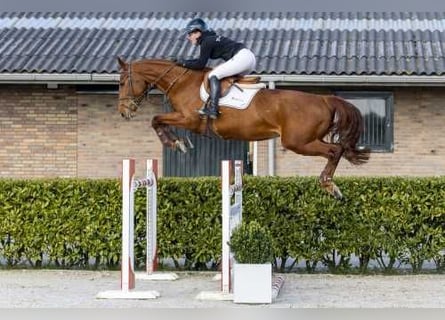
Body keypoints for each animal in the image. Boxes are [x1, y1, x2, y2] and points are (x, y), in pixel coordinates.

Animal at [116, 56, 370, 199]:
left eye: (122, 82)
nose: (124, 112)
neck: (183, 83)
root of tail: (325, 99)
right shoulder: (184, 119)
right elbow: (158, 120)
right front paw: (178, 142)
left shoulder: (189, 119)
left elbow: (156, 119)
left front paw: (174, 142)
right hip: (306, 140)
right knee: (337, 149)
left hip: (298, 142)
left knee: (335, 150)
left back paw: (329, 185)